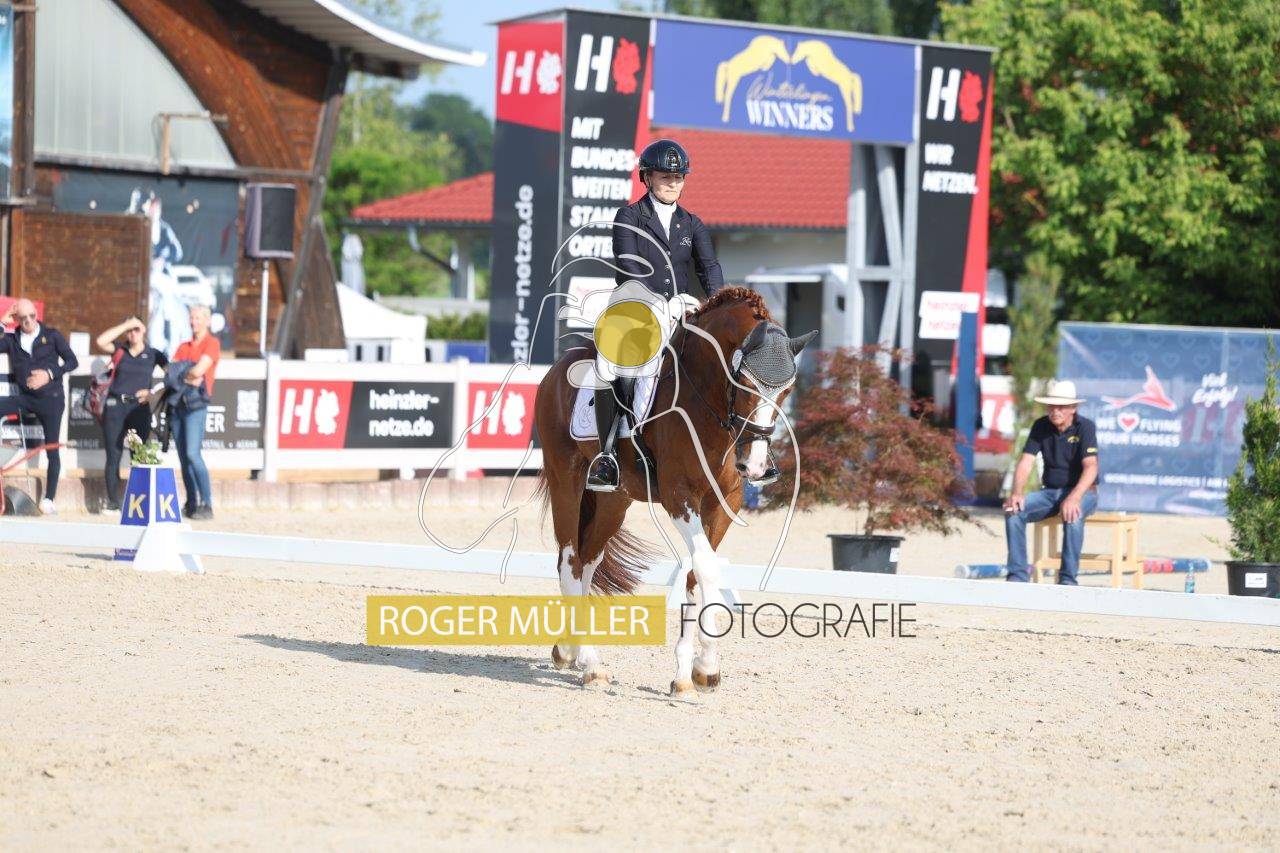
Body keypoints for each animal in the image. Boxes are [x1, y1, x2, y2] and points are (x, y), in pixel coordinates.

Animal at [534, 286, 816, 696]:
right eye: (745, 385)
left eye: (787, 391)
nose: (756, 467)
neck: (706, 396)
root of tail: (556, 369)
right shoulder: (679, 497)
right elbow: (707, 570)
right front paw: (705, 667)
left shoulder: (724, 502)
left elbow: (697, 572)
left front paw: (692, 672)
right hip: (565, 479)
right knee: (569, 561)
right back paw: (586, 662)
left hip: (614, 499)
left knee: (588, 560)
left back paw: (573, 654)